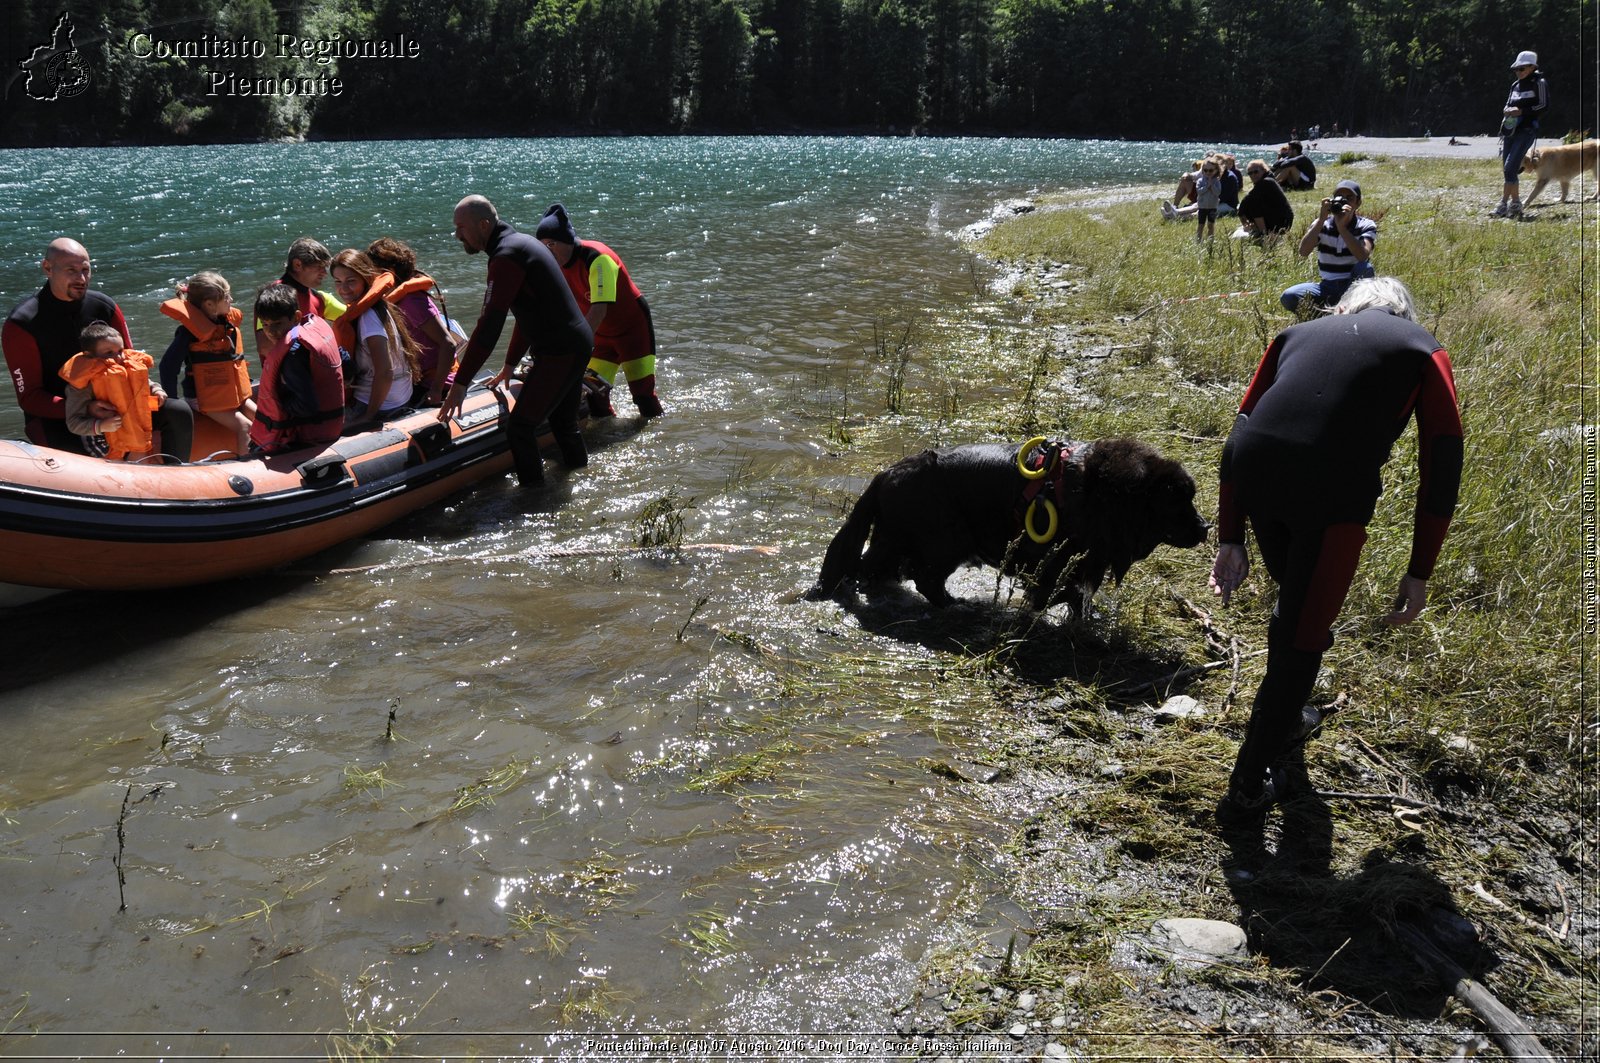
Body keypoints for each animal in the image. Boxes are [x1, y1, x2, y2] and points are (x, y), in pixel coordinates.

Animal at [806, 435, 1203, 614]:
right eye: (1177, 501)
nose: (1205, 528)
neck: (1100, 491)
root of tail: (884, 476)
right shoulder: (1062, 557)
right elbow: (1057, 589)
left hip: (896, 540)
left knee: (874, 568)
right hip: (943, 540)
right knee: (921, 577)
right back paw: (955, 604)